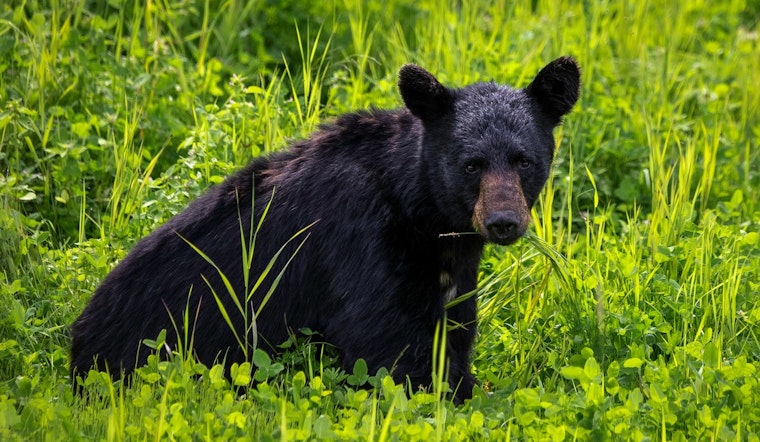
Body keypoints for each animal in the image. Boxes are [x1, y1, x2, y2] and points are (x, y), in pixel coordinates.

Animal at [70, 57, 580, 403]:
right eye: (471, 164)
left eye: (524, 161)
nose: (503, 221)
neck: (420, 211)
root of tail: (76, 341)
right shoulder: (361, 239)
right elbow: (387, 343)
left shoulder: (451, 267)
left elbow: (453, 328)